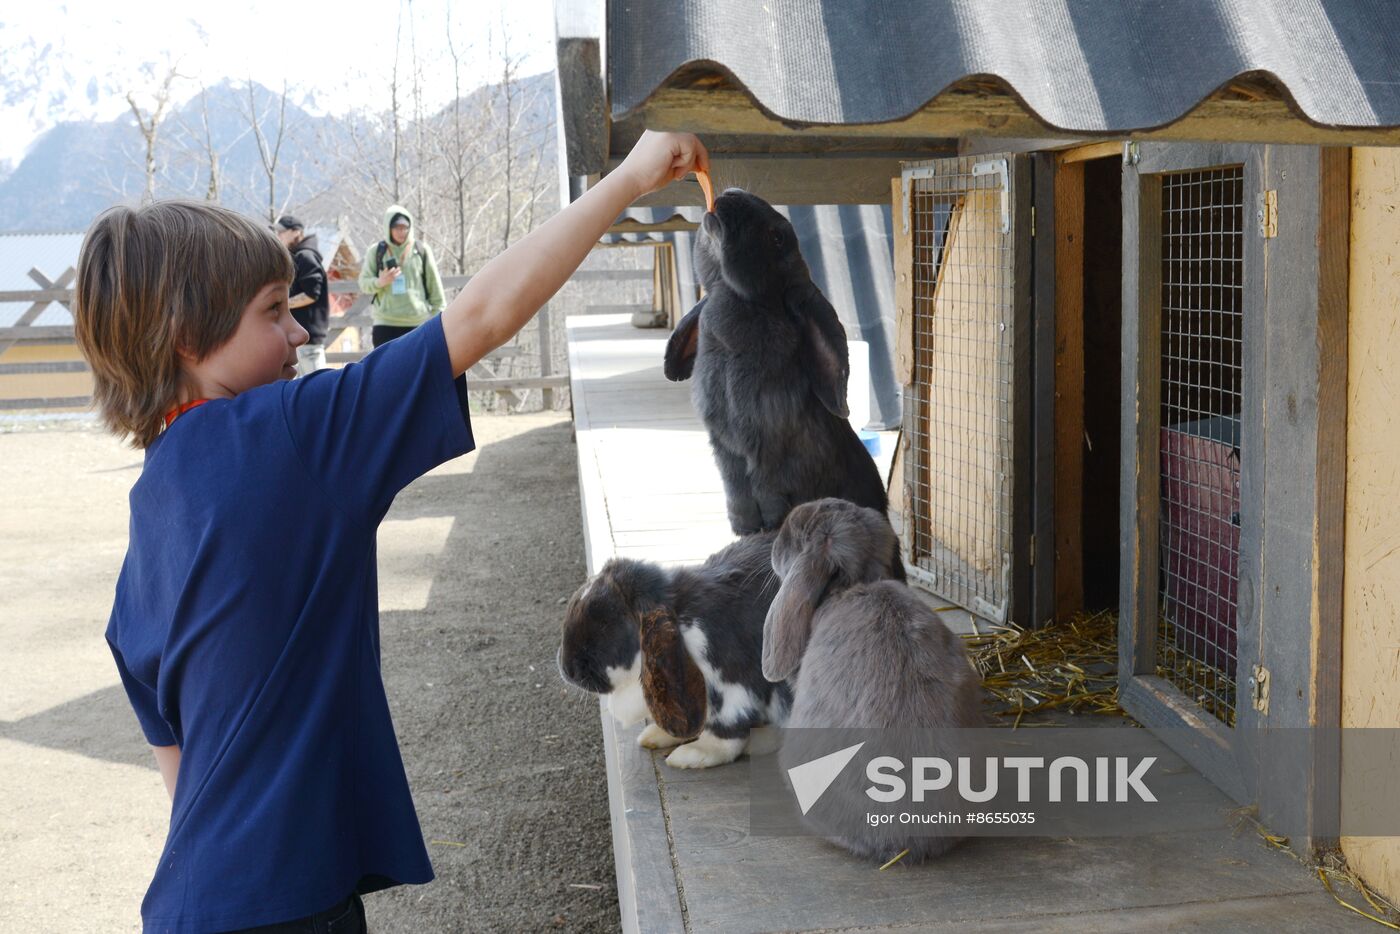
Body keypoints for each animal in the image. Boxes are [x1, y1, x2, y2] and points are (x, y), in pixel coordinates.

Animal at [562, 532, 795, 767]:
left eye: (605, 624)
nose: (567, 671)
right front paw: (656, 735)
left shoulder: (733, 687)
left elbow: (726, 734)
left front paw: (694, 754)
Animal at [660, 190, 890, 554]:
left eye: (777, 237)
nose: (728, 194)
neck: (743, 299)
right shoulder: (725, 450)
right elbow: (737, 489)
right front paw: (743, 527)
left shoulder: (767, 449)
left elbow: (766, 484)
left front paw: (767, 523)